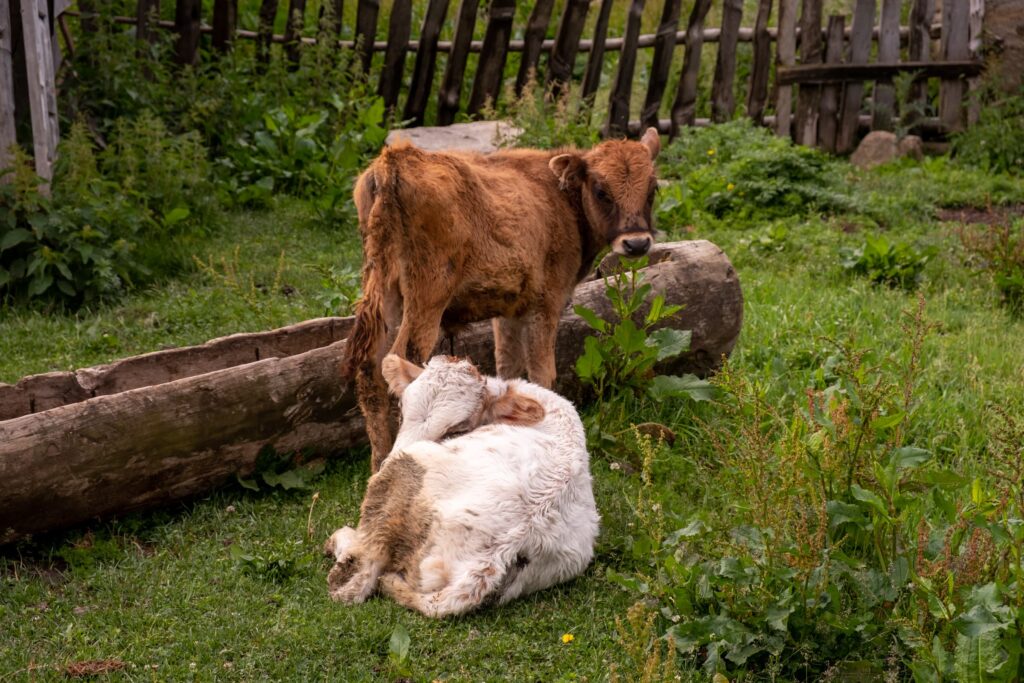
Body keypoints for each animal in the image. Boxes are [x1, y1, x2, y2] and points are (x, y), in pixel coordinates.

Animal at [344, 126, 663, 471]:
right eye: (601, 190)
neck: (560, 198)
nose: (636, 243)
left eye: (652, 190)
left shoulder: (508, 311)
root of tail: (395, 162)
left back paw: (378, 462)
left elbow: (508, 366)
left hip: (386, 292)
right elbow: (542, 372)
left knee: (370, 371)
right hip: (426, 299)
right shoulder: (546, 304)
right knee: (401, 359)